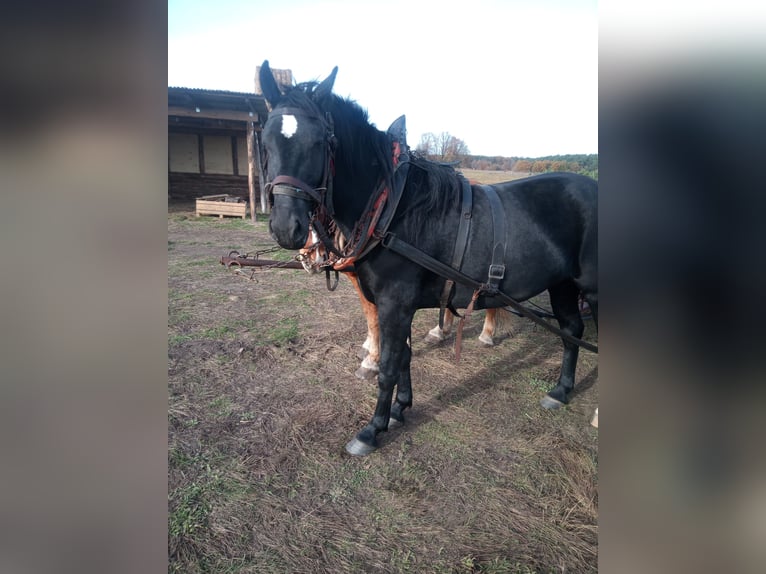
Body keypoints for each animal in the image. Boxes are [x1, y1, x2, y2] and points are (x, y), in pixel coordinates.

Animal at [259, 61, 598, 455]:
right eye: (265, 141)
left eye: (320, 143)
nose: (287, 227)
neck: (392, 210)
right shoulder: (397, 305)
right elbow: (403, 357)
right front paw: (399, 410)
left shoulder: (395, 302)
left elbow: (389, 364)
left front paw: (371, 430)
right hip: (563, 285)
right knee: (572, 332)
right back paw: (561, 391)